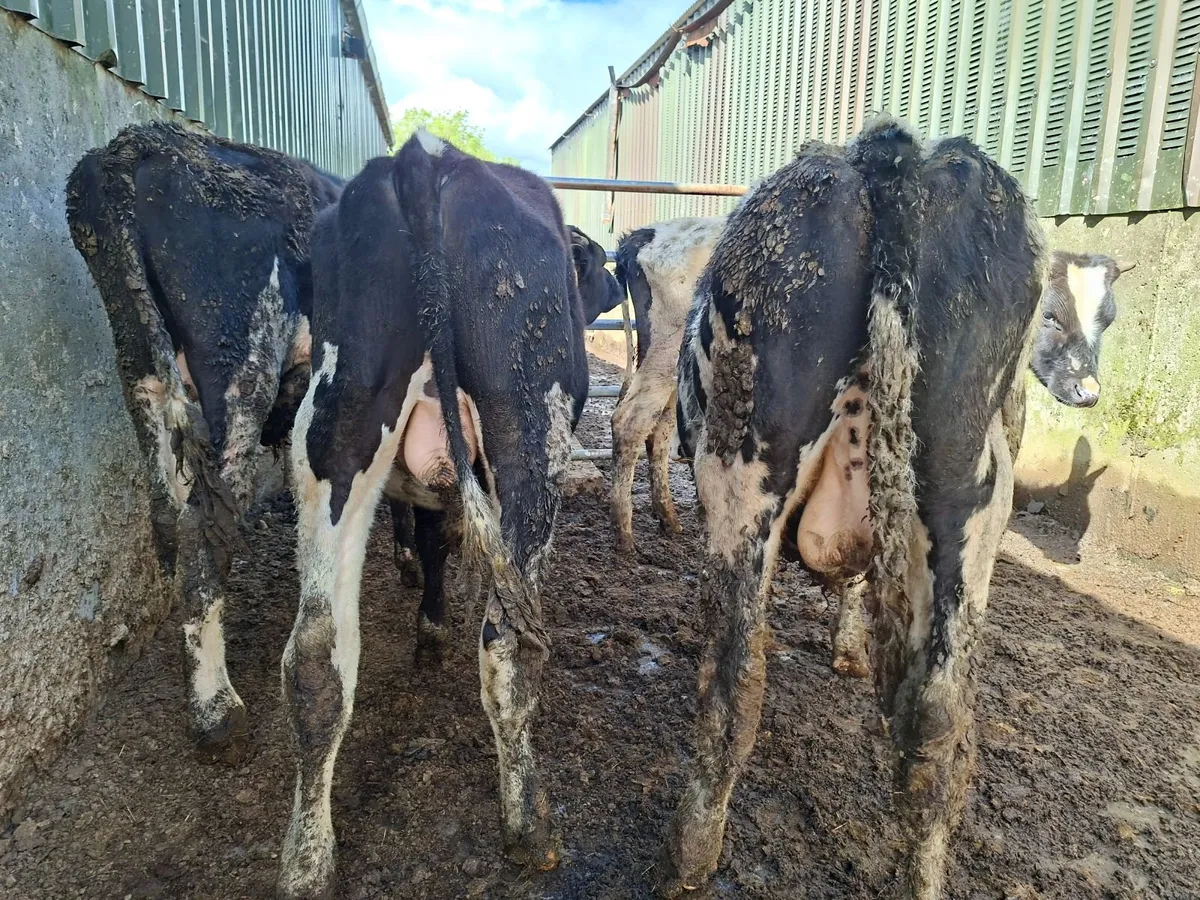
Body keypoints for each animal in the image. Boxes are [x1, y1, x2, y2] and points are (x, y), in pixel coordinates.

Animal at [66, 122, 344, 763]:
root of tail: (136, 145)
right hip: (240, 364)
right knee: (202, 530)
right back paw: (216, 710)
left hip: (140, 364)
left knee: (168, 516)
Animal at [278, 133, 621, 899]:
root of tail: (426, 156)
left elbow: (431, 541)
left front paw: (429, 626)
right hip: (532, 429)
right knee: (508, 646)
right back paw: (528, 826)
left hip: (335, 427)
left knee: (316, 658)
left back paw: (307, 861)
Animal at [656, 119, 1046, 900]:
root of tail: (887, 157)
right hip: (969, 497)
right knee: (934, 720)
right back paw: (923, 877)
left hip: (744, 468)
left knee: (733, 685)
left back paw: (687, 856)